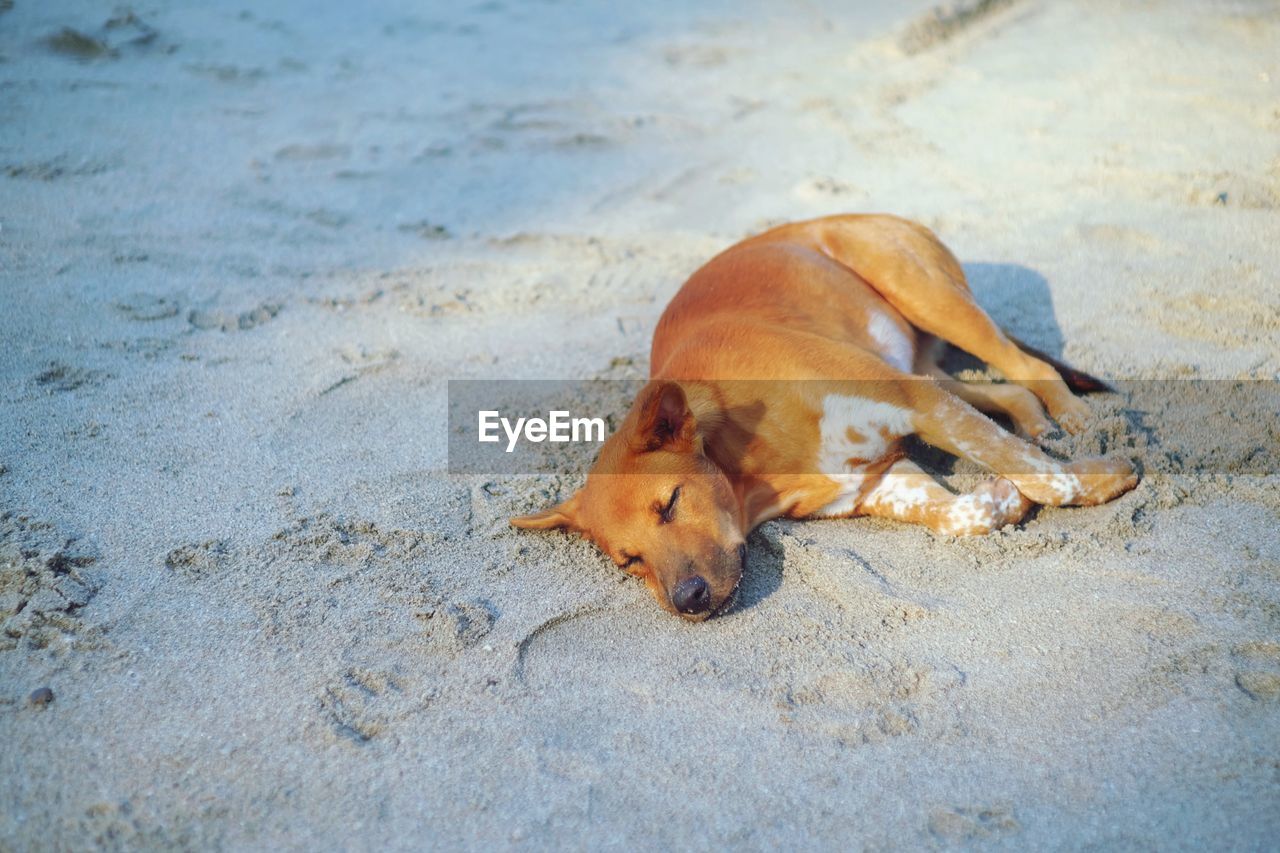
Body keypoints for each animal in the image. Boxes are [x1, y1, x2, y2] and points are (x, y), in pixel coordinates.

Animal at [509, 213, 1141, 617]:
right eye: (629, 562)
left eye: (669, 503)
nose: (687, 601)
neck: (744, 462)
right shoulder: (877, 478)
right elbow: (964, 514)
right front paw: (1006, 499)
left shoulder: (913, 402)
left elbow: (1040, 474)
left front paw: (1099, 479)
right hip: (920, 363)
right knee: (1010, 392)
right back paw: (1040, 422)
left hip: (925, 300)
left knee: (1026, 365)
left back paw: (1081, 420)